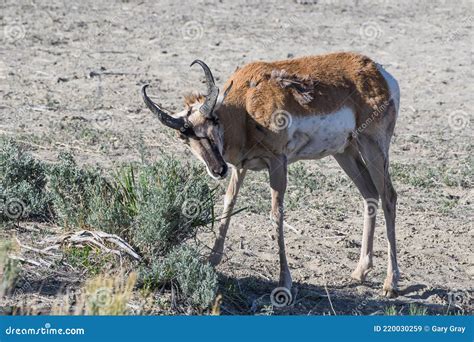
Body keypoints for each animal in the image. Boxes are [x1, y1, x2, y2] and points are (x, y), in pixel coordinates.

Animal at [143, 51, 402, 300]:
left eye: (213, 120)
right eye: (184, 136)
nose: (218, 169)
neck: (245, 107)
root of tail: (379, 72)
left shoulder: (278, 162)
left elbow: (276, 214)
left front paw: (284, 283)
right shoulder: (240, 167)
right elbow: (229, 202)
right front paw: (211, 261)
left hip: (372, 147)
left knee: (389, 196)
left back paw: (391, 284)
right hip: (345, 152)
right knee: (370, 195)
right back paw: (360, 272)